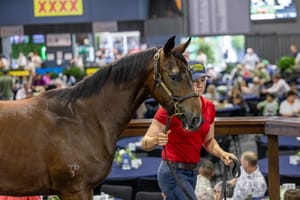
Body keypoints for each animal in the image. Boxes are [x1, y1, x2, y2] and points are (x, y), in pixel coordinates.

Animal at [0, 36, 202, 200]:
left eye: (190, 74)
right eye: (174, 76)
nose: (196, 118)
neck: (82, 119)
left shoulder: (87, 189)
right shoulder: (75, 190)